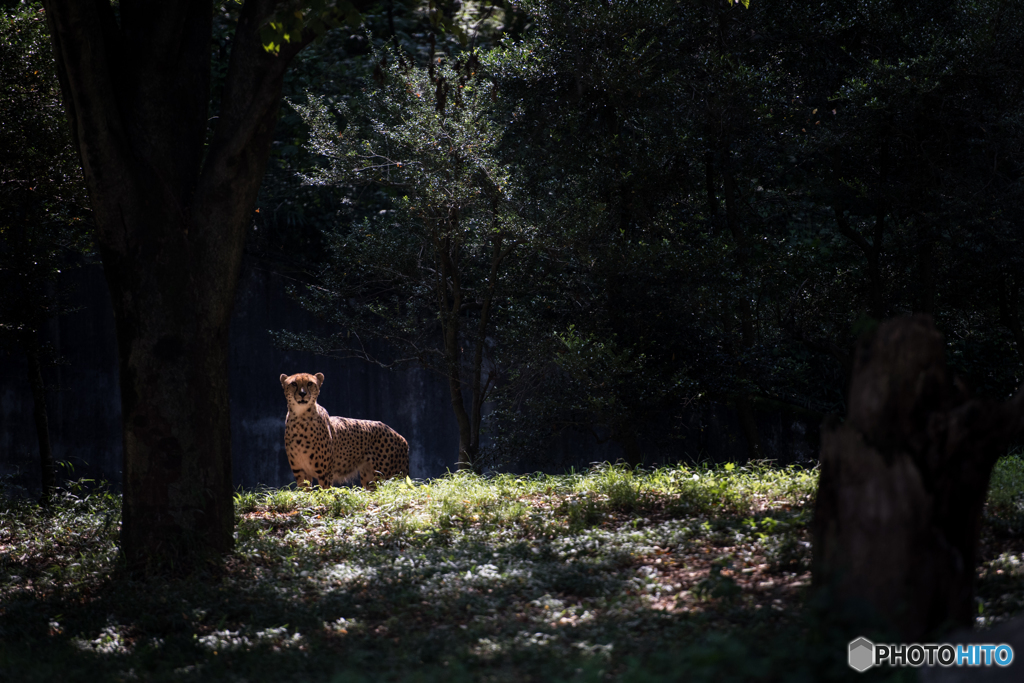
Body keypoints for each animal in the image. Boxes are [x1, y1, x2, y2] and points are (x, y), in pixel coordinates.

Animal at [280, 370, 411, 489]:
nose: (302, 393)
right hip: (369, 478)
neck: (300, 417)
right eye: (294, 384)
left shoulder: (325, 473)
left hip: (386, 477)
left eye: (310, 383)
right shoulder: (300, 471)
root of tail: (400, 436)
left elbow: (324, 493)